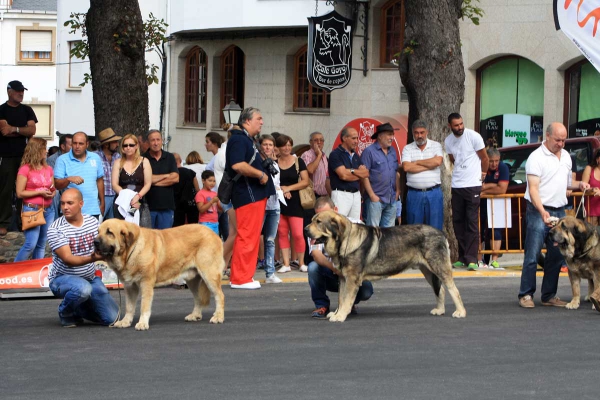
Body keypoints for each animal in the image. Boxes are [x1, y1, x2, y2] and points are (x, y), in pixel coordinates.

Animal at [94, 220, 225, 330]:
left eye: (109, 232)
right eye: (98, 231)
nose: (95, 242)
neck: (132, 250)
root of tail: (214, 234)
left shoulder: (146, 283)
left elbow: (144, 306)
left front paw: (142, 323)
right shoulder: (130, 286)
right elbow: (129, 306)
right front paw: (125, 322)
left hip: (209, 275)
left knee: (220, 295)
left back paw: (218, 317)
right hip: (192, 280)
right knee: (198, 298)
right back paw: (195, 315)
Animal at [304, 211, 468, 324]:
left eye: (318, 222)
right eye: (312, 220)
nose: (305, 229)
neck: (344, 241)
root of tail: (441, 233)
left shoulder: (351, 279)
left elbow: (346, 299)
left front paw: (341, 315)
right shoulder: (343, 278)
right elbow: (341, 298)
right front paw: (337, 313)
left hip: (439, 267)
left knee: (454, 290)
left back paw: (460, 312)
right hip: (427, 270)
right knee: (440, 289)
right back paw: (440, 310)